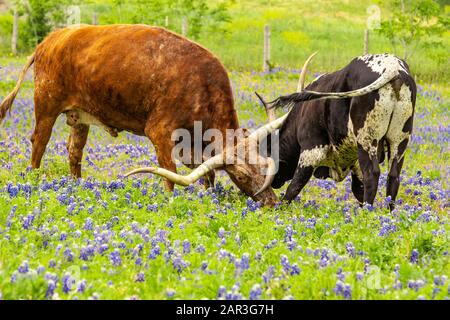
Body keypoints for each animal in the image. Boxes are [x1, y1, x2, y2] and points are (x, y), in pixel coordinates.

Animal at [258, 52, 416, 210]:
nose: (272, 184)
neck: (301, 113)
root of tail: (392, 68)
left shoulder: (311, 150)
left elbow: (294, 187)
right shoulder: (355, 163)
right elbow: (358, 189)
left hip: (366, 140)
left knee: (372, 174)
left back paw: (368, 211)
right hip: (399, 140)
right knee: (393, 177)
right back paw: (389, 213)